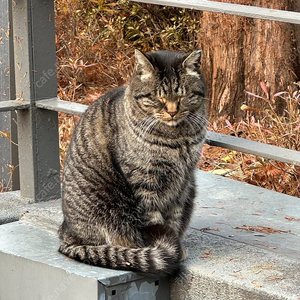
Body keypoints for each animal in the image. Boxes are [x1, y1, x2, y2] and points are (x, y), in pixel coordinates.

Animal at [59, 49, 207, 276]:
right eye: (158, 97)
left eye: (182, 95)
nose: (172, 111)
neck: (177, 139)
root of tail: (66, 235)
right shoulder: (144, 181)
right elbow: (155, 221)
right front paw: (165, 250)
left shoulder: (183, 183)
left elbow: (174, 218)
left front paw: (176, 246)